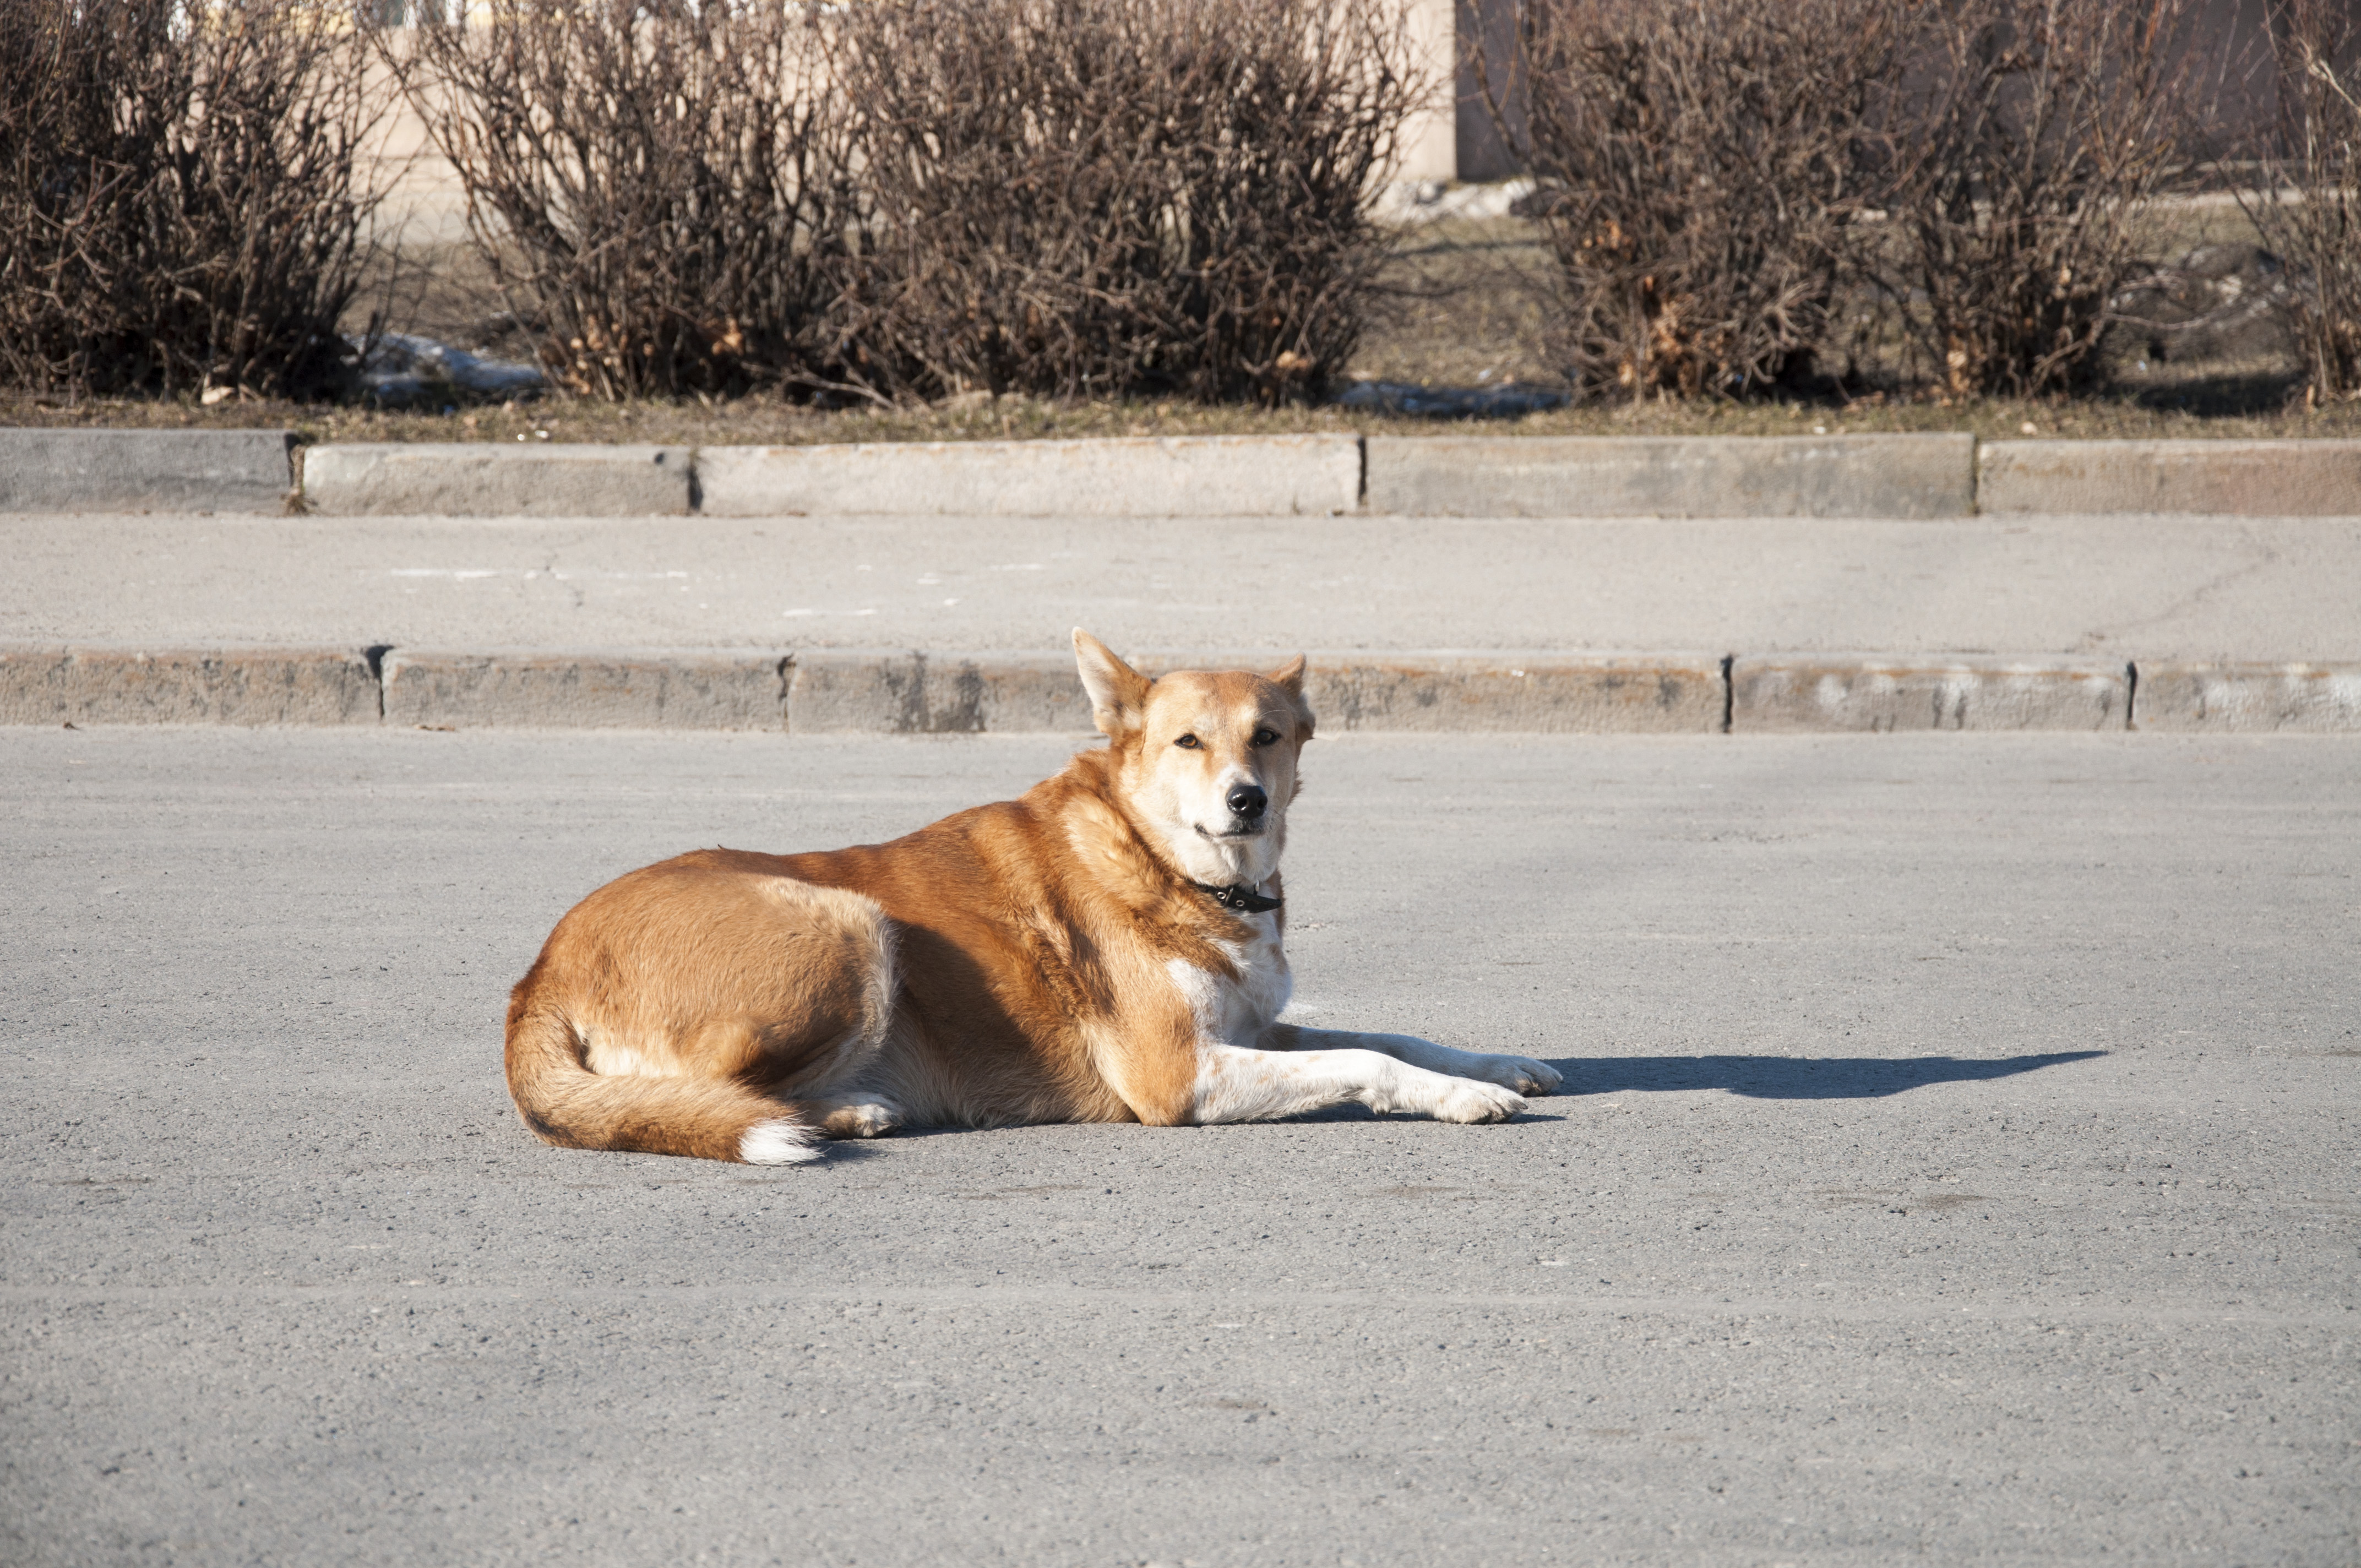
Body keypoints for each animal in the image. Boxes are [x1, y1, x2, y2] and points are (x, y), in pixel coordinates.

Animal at [507, 628, 1558, 1162]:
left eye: (1267, 736)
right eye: (1187, 741)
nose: (1246, 800)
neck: (1164, 865)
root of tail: (540, 969)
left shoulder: (1253, 1030)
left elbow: (1391, 1034)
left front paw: (1494, 1063)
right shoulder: (1181, 1075)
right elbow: (1366, 1060)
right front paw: (1460, 1098)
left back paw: (850, 1112)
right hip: (853, 925)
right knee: (718, 1093)